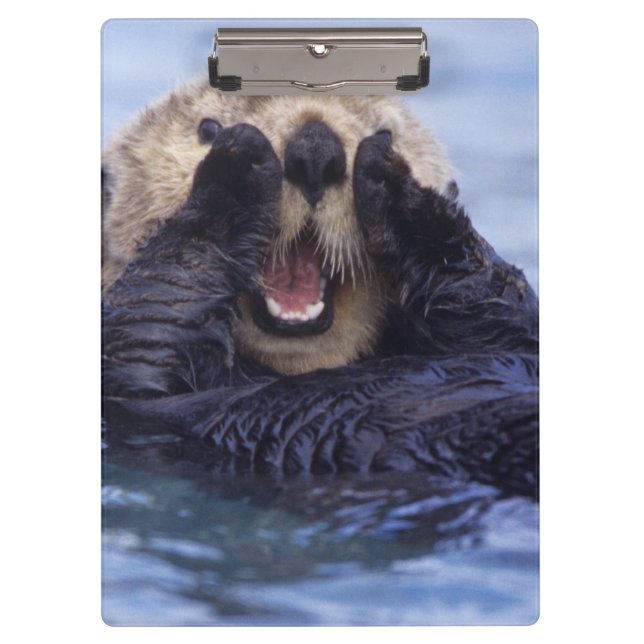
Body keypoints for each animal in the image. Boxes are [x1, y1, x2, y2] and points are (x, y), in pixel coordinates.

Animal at [102, 80, 538, 497]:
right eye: (207, 129)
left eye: (387, 132)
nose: (314, 149)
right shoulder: (139, 388)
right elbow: (153, 318)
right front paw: (235, 167)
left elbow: (500, 301)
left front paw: (396, 184)